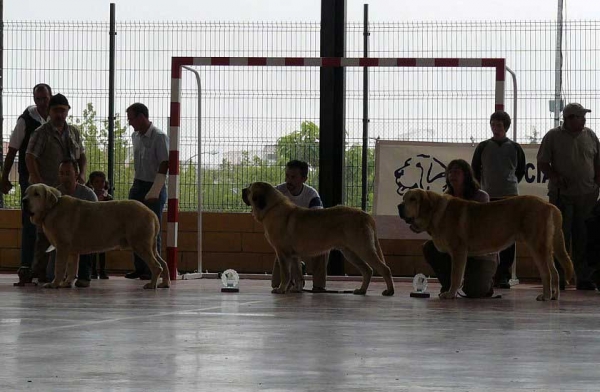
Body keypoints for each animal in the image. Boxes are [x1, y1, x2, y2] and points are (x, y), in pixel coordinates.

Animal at [23, 182, 169, 290]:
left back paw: (152, 285)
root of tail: (150, 212)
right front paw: (66, 283)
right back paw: (164, 283)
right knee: (164, 263)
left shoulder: (62, 247)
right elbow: (71, 268)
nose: (24, 200)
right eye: (26, 193)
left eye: (36, 194)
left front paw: (54, 283)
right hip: (150, 246)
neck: (53, 207)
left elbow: (59, 268)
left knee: (157, 266)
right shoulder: (72, 251)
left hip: (140, 245)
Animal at [241, 182, 396, 296]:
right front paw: (296, 289)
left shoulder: (283, 253)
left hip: (363, 249)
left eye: (249, 190)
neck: (272, 207)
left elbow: (286, 273)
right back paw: (362, 290)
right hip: (350, 252)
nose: (242, 189)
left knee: (384, 268)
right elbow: (297, 273)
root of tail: (366, 215)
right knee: (367, 270)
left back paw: (389, 291)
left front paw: (281, 289)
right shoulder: (293, 256)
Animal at [400, 188, 576, 302]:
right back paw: (554, 296)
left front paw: (450, 294)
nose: (399, 207)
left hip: (536, 247)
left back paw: (545, 296)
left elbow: (455, 276)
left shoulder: (458, 251)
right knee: (555, 273)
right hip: (547, 249)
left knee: (546, 273)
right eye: (403, 198)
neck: (436, 211)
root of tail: (549, 205)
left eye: (413, 199)